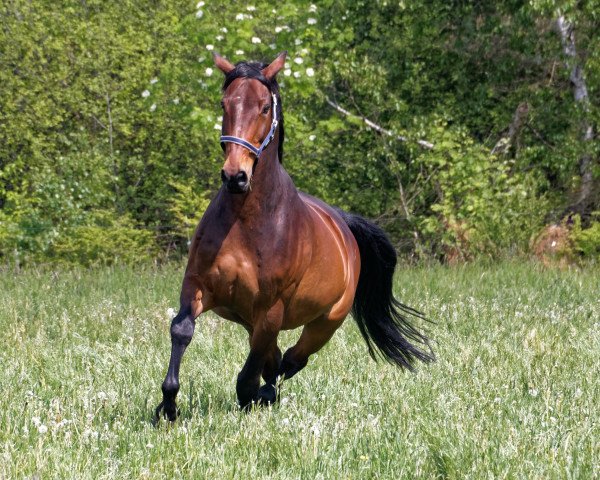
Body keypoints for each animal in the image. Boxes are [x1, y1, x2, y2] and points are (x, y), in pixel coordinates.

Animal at [155, 51, 434, 420]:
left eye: (264, 107)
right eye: (224, 104)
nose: (235, 176)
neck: (246, 221)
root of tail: (343, 224)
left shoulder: (270, 309)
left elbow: (250, 375)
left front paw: (252, 398)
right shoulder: (198, 286)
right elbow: (182, 329)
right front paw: (167, 407)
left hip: (325, 323)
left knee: (290, 360)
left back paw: (267, 394)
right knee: (275, 360)